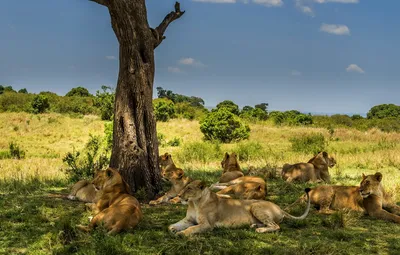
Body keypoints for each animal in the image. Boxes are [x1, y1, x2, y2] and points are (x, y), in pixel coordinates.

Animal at [167, 180, 310, 236]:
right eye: (184, 187)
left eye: (189, 188)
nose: (178, 195)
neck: (195, 203)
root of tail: (280, 208)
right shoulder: (188, 220)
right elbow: (173, 225)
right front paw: (173, 228)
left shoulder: (207, 225)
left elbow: (191, 228)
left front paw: (181, 233)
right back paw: (255, 226)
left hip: (255, 205)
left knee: (276, 226)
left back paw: (259, 230)